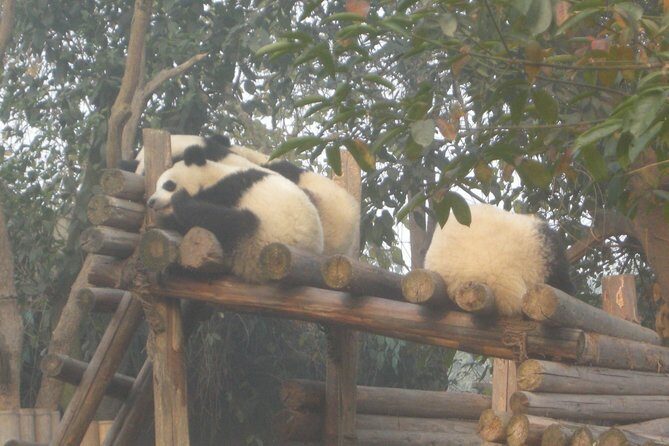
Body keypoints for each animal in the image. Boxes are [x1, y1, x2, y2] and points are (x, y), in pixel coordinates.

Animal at [147, 143, 324, 281]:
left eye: (168, 185)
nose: (151, 202)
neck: (214, 175)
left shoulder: (230, 188)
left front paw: (177, 204)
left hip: (266, 233)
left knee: (232, 221)